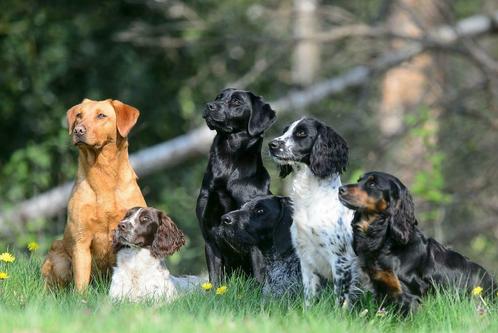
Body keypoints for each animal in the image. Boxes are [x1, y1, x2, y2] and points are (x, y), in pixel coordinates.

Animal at [41, 97, 146, 290]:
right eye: (79, 115)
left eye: (101, 115)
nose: (78, 130)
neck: (104, 176)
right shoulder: (81, 241)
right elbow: (80, 281)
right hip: (58, 253)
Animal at [196, 89, 276, 286]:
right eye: (219, 97)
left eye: (237, 102)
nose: (209, 105)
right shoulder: (209, 237)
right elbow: (215, 278)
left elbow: (260, 276)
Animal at [268, 117, 362, 306]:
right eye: (285, 131)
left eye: (301, 133)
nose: (271, 144)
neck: (311, 202)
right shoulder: (305, 259)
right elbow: (309, 298)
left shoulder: (341, 260)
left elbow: (340, 300)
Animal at [336, 171, 496, 314]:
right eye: (359, 180)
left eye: (372, 184)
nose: (340, 189)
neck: (387, 241)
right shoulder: (381, 288)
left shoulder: (409, 294)